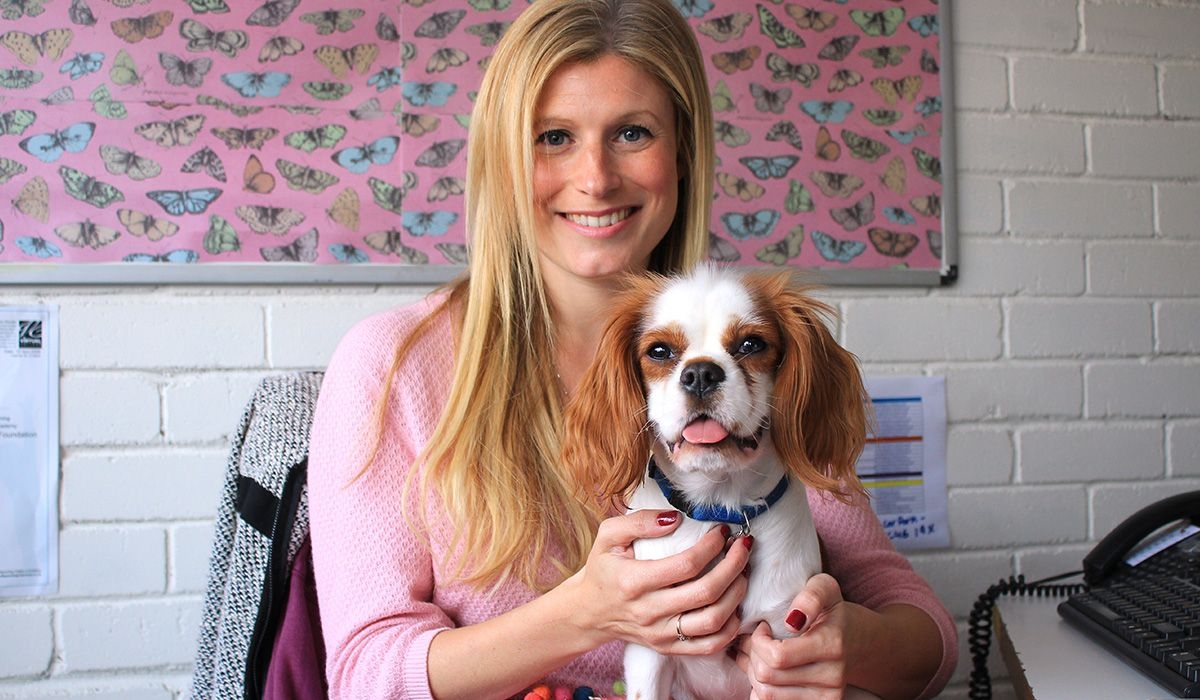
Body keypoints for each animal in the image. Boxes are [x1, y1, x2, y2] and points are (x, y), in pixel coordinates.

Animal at [566, 264, 868, 700]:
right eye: (659, 351)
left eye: (751, 344)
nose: (701, 373)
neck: (718, 504)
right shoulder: (648, 650)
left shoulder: (782, 647)